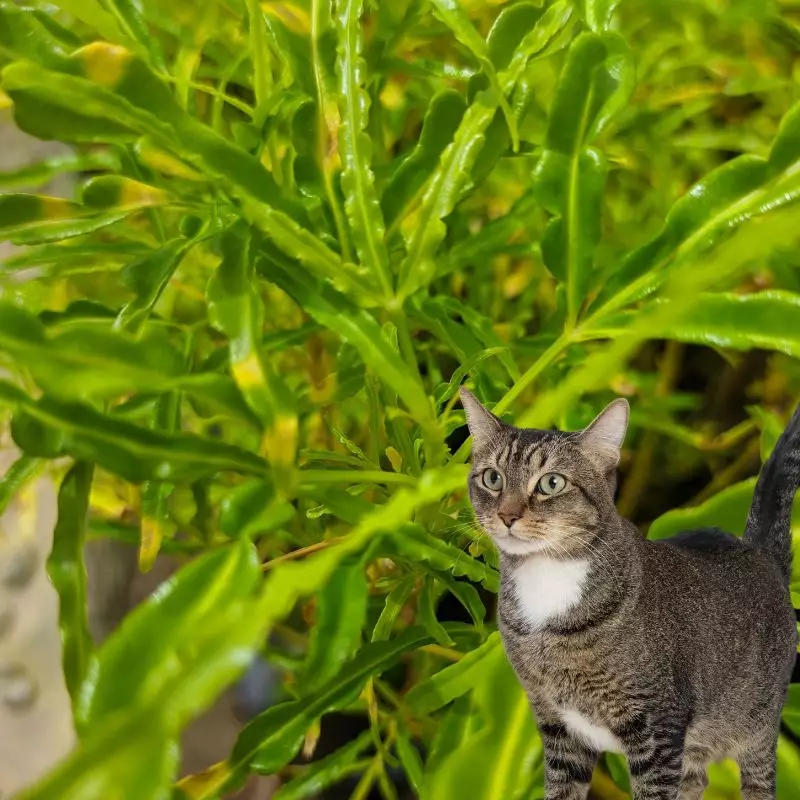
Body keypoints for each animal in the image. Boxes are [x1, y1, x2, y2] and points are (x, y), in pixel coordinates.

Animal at [460, 384, 796, 796]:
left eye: (551, 483)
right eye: (492, 478)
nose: (507, 516)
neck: (548, 581)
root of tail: (761, 552)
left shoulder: (658, 728)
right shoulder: (557, 726)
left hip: (757, 726)